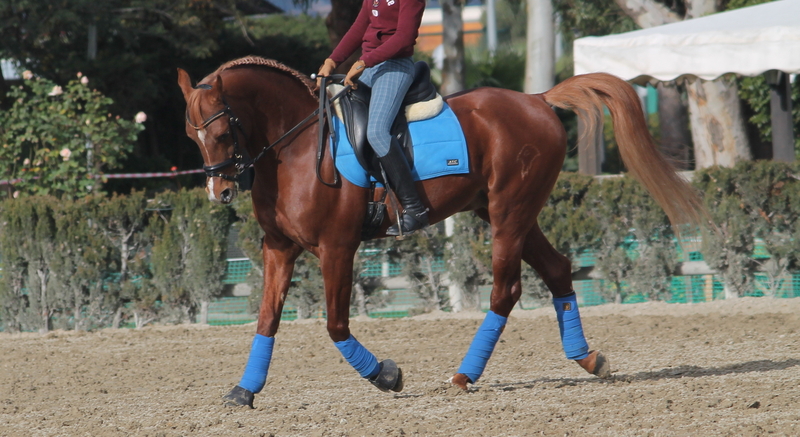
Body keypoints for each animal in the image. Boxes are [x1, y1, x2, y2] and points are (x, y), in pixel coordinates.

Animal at [177, 56, 704, 408]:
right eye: (191, 135)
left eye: (221, 131)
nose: (220, 192)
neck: (297, 147)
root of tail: (536, 101)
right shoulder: (280, 248)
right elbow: (266, 319)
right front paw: (244, 391)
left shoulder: (337, 248)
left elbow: (335, 325)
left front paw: (387, 376)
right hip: (505, 213)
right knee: (556, 270)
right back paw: (588, 359)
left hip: (509, 212)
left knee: (505, 290)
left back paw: (464, 375)